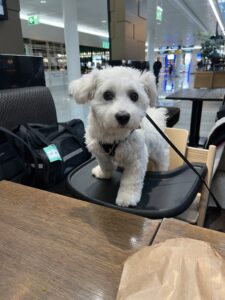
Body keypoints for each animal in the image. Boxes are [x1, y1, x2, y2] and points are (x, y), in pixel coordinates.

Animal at [69, 66, 168, 207]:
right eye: (107, 95)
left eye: (134, 96)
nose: (123, 116)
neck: (114, 135)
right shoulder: (100, 152)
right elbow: (105, 165)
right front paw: (103, 173)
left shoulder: (137, 160)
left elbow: (131, 181)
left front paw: (127, 198)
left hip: (158, 151)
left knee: (162, 160)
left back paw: (161, 170)